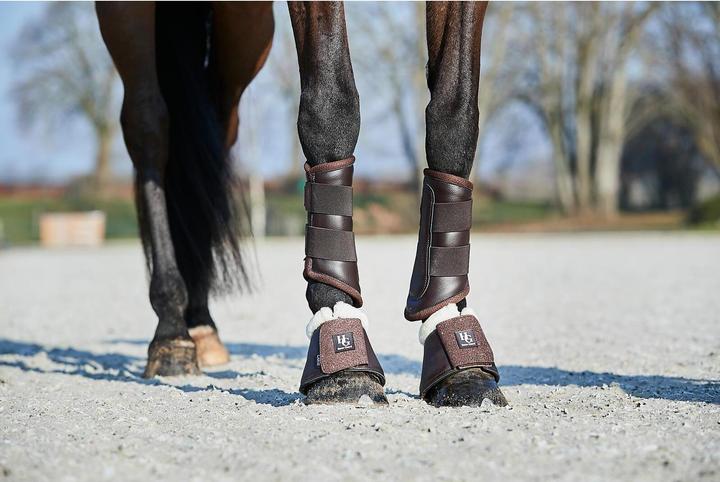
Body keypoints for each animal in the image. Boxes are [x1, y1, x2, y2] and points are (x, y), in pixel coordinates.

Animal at [96, 1, 506, 407]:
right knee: (149, 126)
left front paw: (459, 351)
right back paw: (171, 331)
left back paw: (199, 324)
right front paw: (340, 346)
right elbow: (331, 103)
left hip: (246, 24)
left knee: (212, 131)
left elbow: (455, 114)